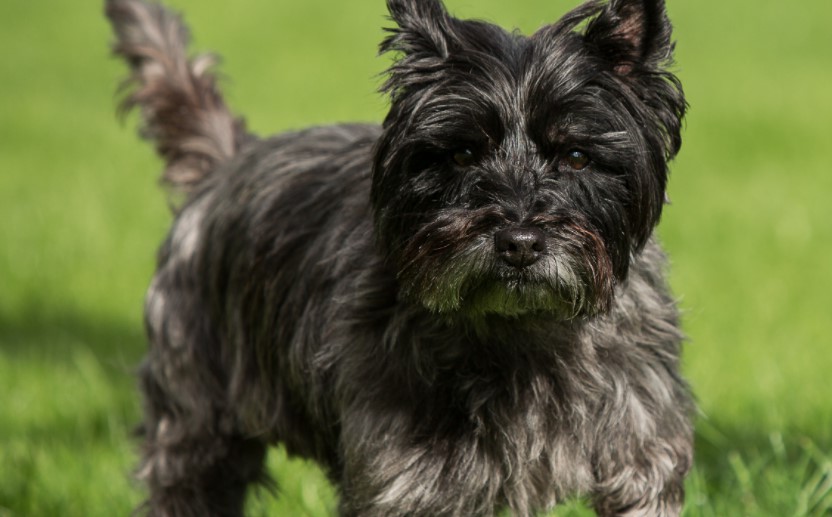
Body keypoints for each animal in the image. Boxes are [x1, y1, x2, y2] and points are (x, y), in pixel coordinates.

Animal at [105, 0, 696, 512]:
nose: (520, 243)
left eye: (575, 156)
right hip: (194, 428)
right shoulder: (406, 481)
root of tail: (228, 162)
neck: (524, 332)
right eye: (462, 154)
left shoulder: (642, 460)